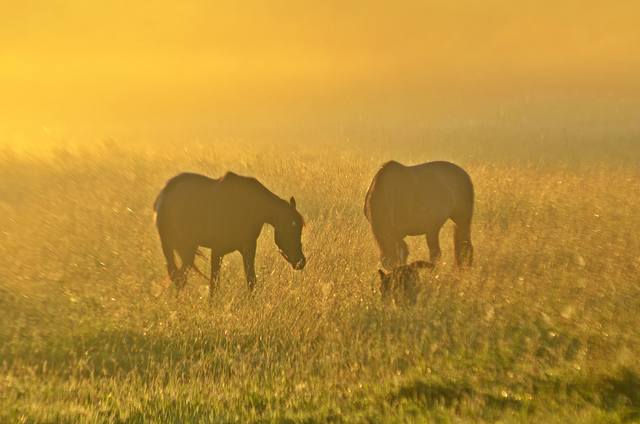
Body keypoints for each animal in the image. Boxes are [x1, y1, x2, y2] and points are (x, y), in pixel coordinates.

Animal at [154, 171, 306, 296]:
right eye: (290, 228)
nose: (301, 262)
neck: (252, 206)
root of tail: (164, 195)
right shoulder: (217, 250)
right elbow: (214, 284)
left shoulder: (248, 249)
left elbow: (251, 280)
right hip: (180, 247)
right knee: (178, 276)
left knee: (178, 275)